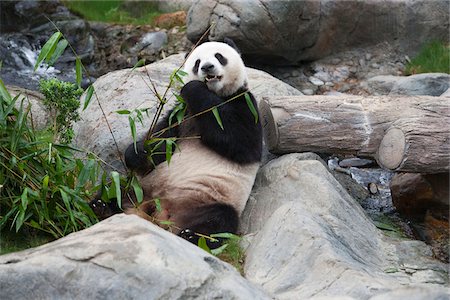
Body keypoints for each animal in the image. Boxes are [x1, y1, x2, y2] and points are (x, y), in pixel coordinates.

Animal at [90, 39, 262, 246]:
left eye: (219, 56)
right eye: (197, 62)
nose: (207, 67)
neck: (217, 94)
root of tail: (161, 215)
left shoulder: (244, 102)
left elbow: (242, 142)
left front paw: (194, 88)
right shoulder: (181, 114)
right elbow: (162, 142)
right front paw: (138, 153)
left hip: (210, 199)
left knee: (219, 219)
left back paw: (191, 236)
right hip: (142, 188)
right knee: (117, 189)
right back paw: (100, 206)